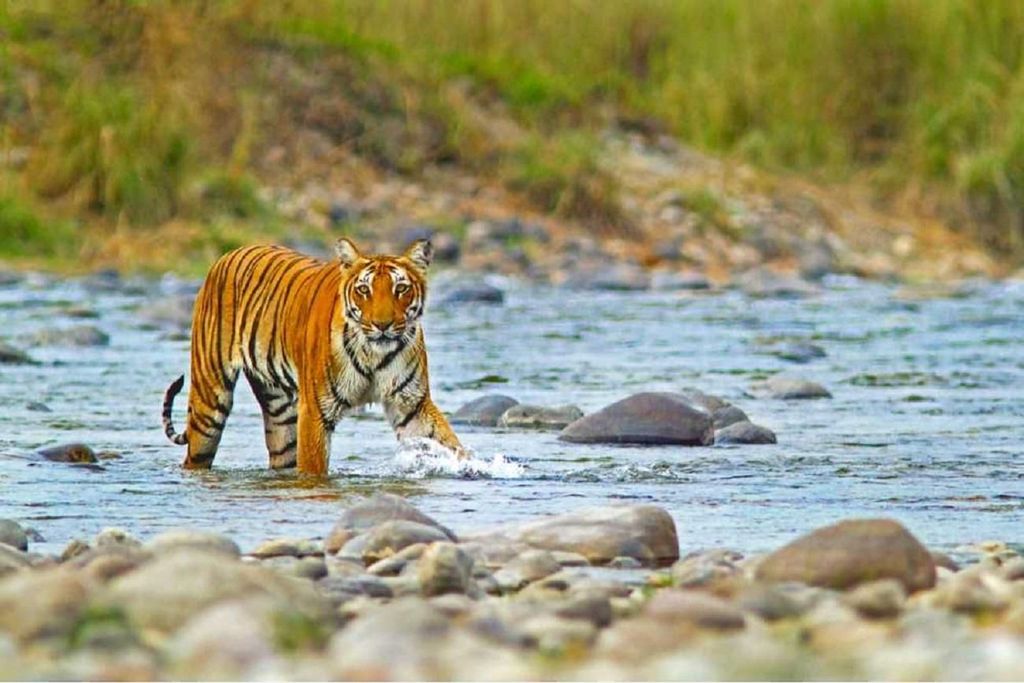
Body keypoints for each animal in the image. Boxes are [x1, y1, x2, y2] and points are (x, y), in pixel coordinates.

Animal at [161, 237, 465, 476]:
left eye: (400, 289)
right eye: (364, 290)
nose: (382, 325)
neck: (374, 354)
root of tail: (227, 254)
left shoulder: (411, 404)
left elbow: (448, 443)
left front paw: (470, 467)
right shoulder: (316, 411)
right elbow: (313, 468)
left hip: (280, 414)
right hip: (209, 402)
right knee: (196, 454)